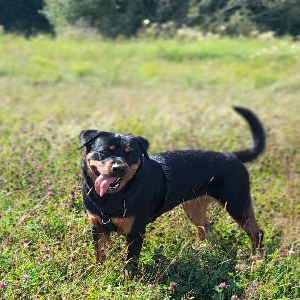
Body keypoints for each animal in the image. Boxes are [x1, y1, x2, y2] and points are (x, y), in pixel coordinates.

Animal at [79, 107, 264, 272]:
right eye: (104, 152)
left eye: (131, 154)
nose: (119, 168)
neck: (110, 199)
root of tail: (231, 155)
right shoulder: (97, 228)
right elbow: (100, 257)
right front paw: (99, 274)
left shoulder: (135, 233)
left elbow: (130, 266)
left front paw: (127, 284)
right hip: (194, 207)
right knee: (205, 228)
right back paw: (201, 250)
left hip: (237, 204)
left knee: (257, 232)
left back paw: (256, 260)